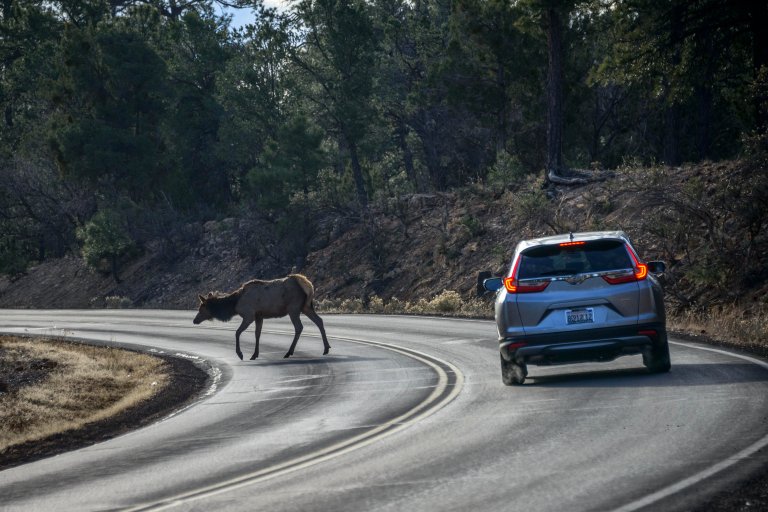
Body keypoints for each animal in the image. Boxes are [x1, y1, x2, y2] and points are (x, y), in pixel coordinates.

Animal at [193, 274, 330, 360]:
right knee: (319, 321)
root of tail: (308, 286)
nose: (194, 320)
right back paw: (326, 348)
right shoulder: (259, 315)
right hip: (306, 307)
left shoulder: (249, 315)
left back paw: (289, 352)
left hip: (293, 308)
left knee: (299, 327)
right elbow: (257, 334)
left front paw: (240, 354)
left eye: (201, 307)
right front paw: (254, 354)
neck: (234, 305)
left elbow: (237, 332)